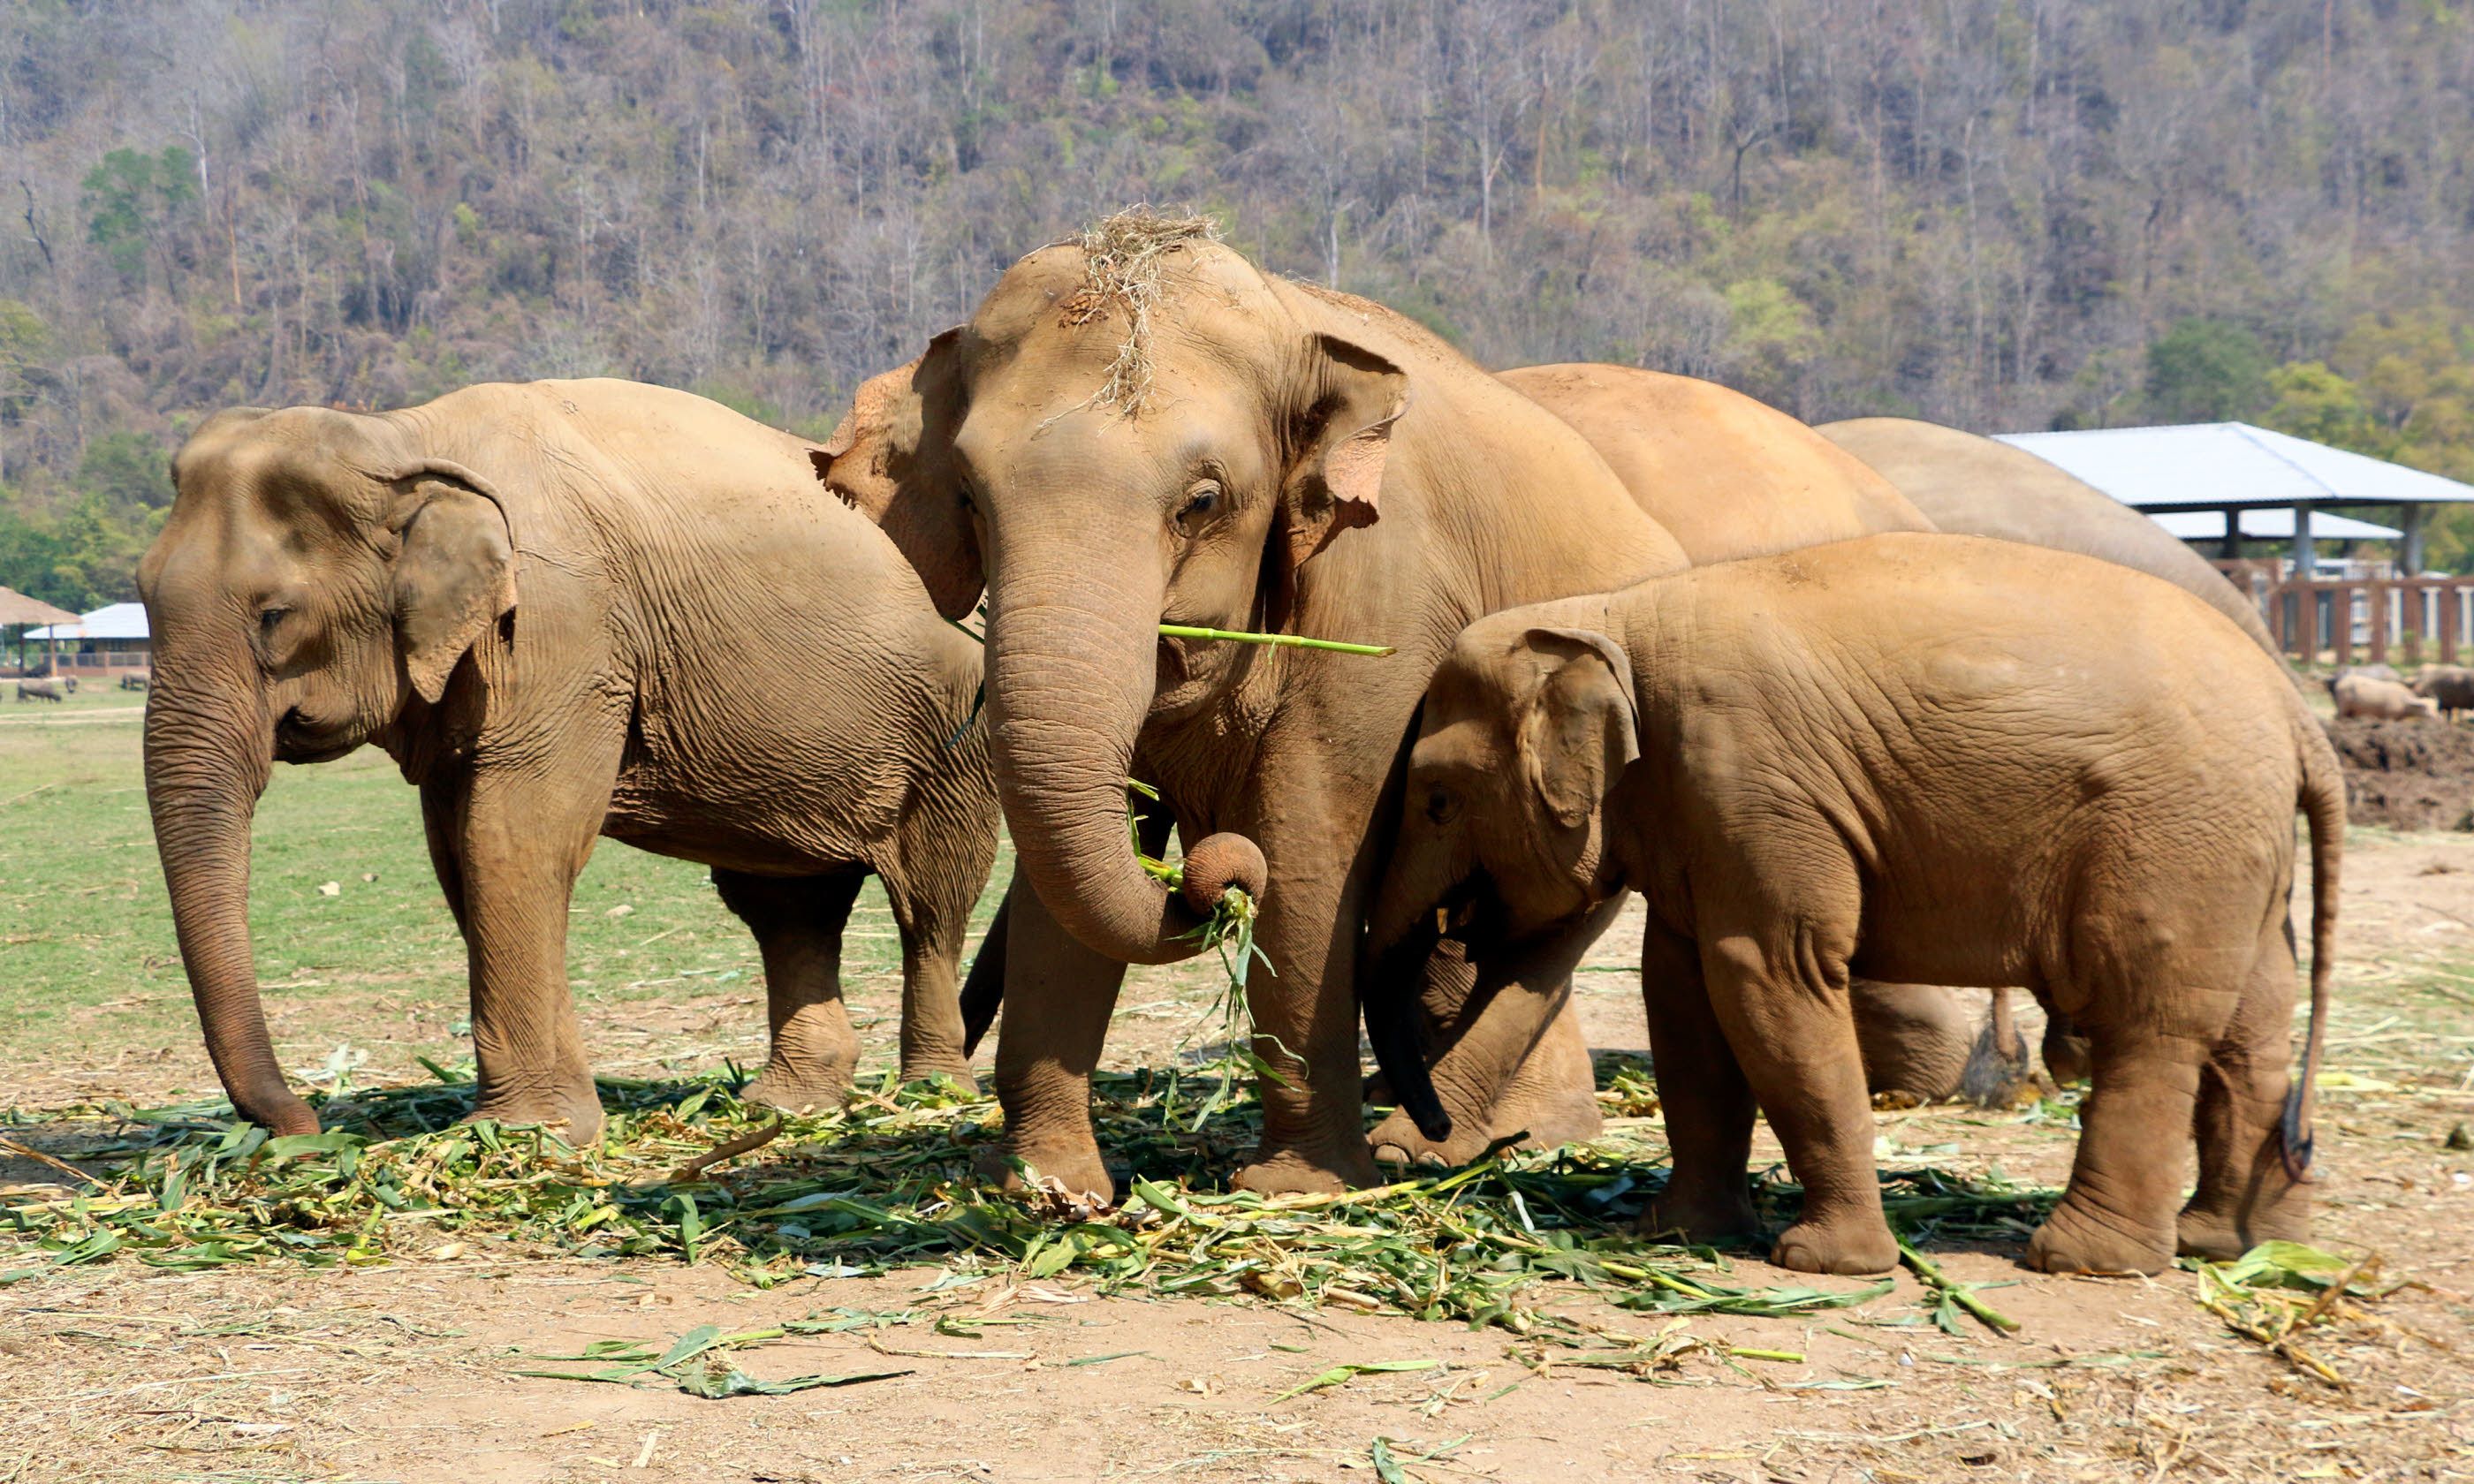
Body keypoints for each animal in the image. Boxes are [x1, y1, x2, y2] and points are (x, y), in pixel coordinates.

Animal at [137, 380, 997, 1141]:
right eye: (140, 596)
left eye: (275, 616)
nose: (306, 1126)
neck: (403, 433)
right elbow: (463, 856)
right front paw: (552, 1129)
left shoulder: (565, 631)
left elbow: (515, 839)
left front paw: (525, 1136)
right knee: (788, 907)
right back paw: (786, 1106)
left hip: (953, 731)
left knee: (930, 898)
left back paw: (929, 1093)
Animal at [816, 213, 1697, 1199]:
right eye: (969, 498)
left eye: (1202, 501)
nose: (1215, 881)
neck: (1289, 323)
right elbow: (1072, 864)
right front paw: (1048, 1190)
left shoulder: (1385, 602)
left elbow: (1309, 839)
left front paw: (1294, 1188)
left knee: (1547, 933)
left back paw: (1435, 1149)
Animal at [1361, 532, 2339, 1276]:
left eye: (1438, 799)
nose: (1407, 1147)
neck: (1612, 616)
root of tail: (2299, 715)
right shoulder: (1695, 808)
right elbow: (1680, 994)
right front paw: (1675, 1234)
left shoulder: (1750, 778)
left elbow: (1768, 977)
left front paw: (1823, 1264)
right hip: (2241, 859)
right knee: (2253, 1029)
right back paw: (2234, 1244)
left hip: (2174, 842)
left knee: (2150, 1024)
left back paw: (2083, 1261)